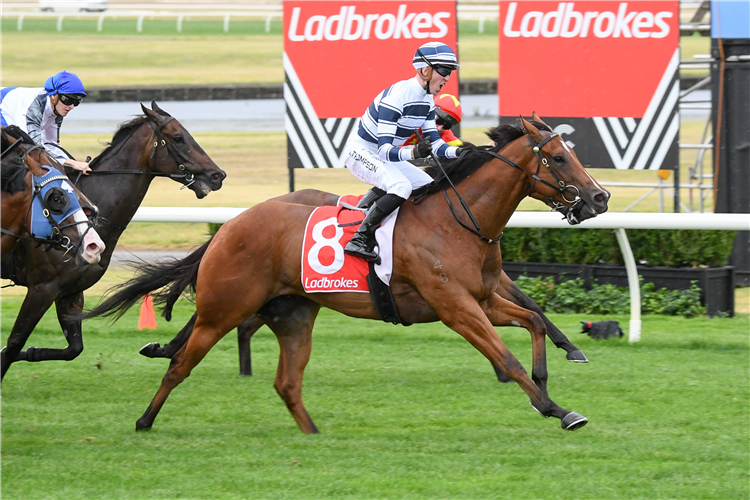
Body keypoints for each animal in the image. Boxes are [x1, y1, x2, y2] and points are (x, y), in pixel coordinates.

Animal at [86, 115, 612, 432]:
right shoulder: (455, 307)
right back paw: (145, 421)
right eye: (559, 157)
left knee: (285, 381)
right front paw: (557, 410)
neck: (459, 220)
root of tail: (229, 226)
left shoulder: (482, 299)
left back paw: (313, 433)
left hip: (291, 313)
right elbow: (507, 358)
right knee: (182, 363)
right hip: (225, 307)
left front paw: (547, 384)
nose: (600, 197)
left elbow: (533, 320)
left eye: (572, 153)